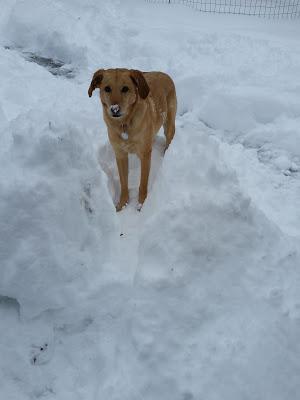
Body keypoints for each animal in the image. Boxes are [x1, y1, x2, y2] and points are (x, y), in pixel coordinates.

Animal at [87, 68, 176, 212]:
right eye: (107, 88)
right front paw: (122, 203)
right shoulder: (120, 154)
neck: (124, 125)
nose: (114, 109)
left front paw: (141, 204)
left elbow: (143, 183)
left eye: (125, 88)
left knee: (169, 138)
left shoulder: (145, 155)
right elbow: (123, 183)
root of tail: (163, 73)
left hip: (169, 123)